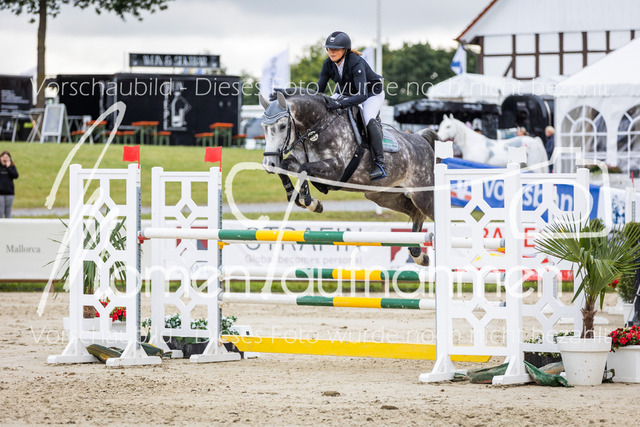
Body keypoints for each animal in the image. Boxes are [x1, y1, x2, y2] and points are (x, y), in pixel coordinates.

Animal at [259, 89, 438, 266]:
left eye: (282, 126)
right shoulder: (298, 161)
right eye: (263, 127)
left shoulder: (336, 170)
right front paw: (301, 199)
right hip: (383, 195)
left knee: (428, 212)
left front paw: (309, 201)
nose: (269, 163)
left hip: (423, 195)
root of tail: (421, 140)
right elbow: (286, 167)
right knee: (414, 211)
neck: (315, 130)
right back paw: (419, 255)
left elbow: (305, 169)